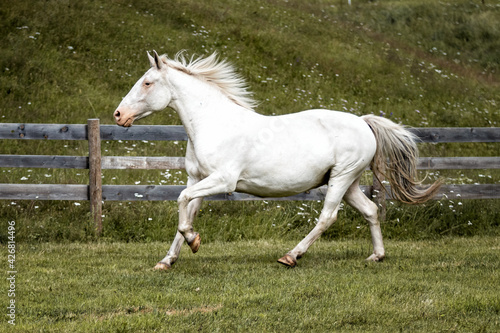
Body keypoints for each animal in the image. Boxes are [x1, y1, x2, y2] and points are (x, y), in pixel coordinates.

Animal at [114, 52, 442, 270]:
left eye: (147, 83)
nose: (118, 115)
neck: (214, 123)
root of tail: (363, 122)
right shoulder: (198, 179)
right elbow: (186, 212)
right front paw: (167, 260)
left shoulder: (222, 180)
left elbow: (182, 203)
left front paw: (194, 242)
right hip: (347, 181)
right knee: (371, 211)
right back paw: (377, 255)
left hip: (341, 179)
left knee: (327, 217)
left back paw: (290, 257)